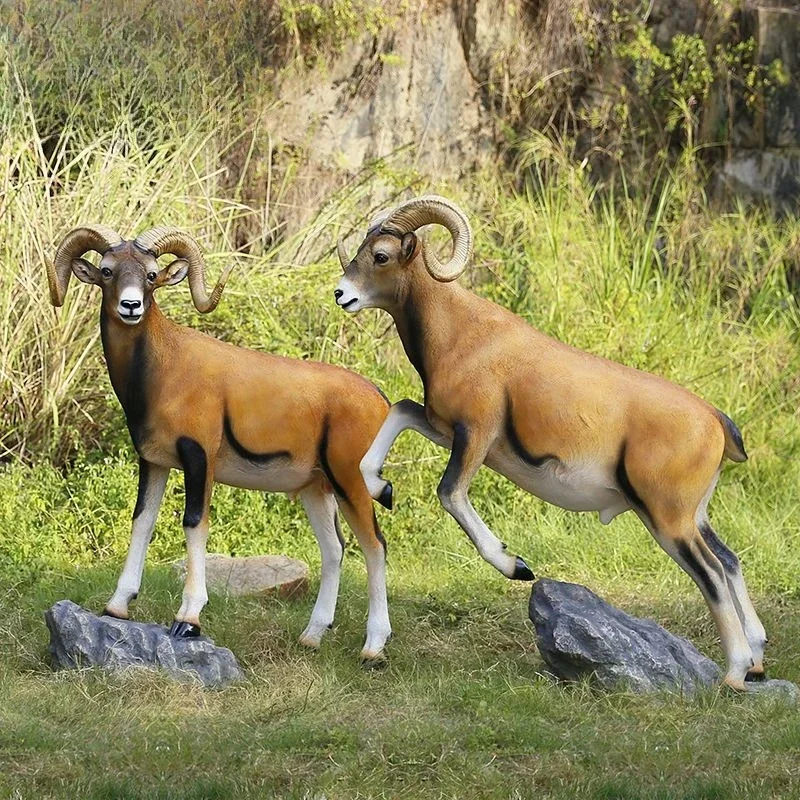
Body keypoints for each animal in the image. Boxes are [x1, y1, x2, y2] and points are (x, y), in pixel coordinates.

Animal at [48, 225, 393, 660]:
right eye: (108, 271)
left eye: (150, 275)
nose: (130, 306)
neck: (163, 370)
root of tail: (380, 400)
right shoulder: (154, 464)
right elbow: (142, 522)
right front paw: (117, 606)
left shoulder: (199, 460)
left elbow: (194, 523)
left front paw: (188, 620)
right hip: (318, 490)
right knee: (335, 551)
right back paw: (311, 636)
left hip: (351, 484)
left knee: (375, 547)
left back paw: (373, 650)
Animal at [333, 195, 767, 690]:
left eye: (381, 255)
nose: (341, 294)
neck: (460, 333)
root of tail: (715, 422)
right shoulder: (442, 427)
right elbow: (400, 412)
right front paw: (381, 489)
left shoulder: (475, 436)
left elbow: (450, 495)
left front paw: (517, 566)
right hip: (694, 518)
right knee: (729, 562)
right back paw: (756, 662)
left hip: (668, 521)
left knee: (711, 573)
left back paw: (734, 674)